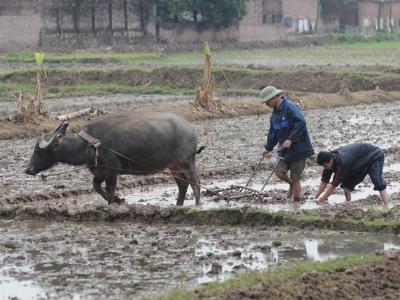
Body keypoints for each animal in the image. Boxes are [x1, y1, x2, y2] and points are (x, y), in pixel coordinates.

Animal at [25, 112, 203, 206]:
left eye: (37, 150)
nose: (28, 170)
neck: (89, 144)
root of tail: (190, 129)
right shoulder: (99, 171)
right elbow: (96, 187)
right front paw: (119, 200)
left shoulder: (112, 170)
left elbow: (110, 191)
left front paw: (113, 203)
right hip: (173, 166)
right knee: (183, 184)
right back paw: (178, 205)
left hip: (186, 161)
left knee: (195, 182)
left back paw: (198, 205)